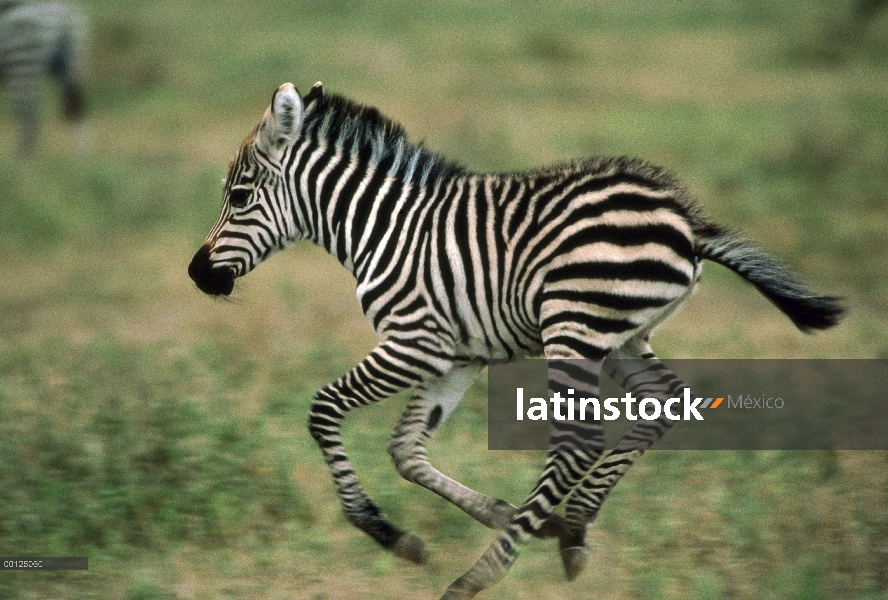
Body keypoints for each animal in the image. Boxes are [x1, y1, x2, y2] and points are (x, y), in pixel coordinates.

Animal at [0, 0, 86, 155]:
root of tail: (65, 16)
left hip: (22, 64)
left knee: (30, 116)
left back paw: (23, 157)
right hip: (68, 64)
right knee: (75, 106)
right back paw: (82, 154)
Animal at [189, 82, 848, 596]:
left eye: (239, 197)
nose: (197, 275)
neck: (381, 229)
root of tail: (686, 219)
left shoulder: (414, 342)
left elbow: (324, 408)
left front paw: (386, 532)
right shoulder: (457, 355)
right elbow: (407, 451)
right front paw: (500, 515)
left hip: (575, 325)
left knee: (581, 439)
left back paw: (481, 575)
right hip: (623, 337)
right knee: (664, 404)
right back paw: (572, 528)